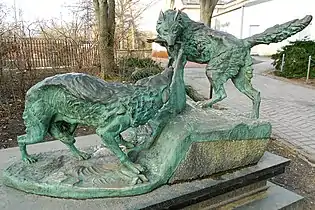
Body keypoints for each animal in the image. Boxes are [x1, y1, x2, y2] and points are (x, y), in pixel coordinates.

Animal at [153, 9, 314, 118]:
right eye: (166, 30)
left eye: (175, 30)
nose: (171, 43)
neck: (183, 28)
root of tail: (243, 41)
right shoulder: (173, 55)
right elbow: (170, 68)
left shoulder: (182, 56)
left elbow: (175, 70)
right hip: (240, 79)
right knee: (256, 94)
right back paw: (253, 119)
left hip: (213, 70)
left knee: (222, 94)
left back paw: (205, 104)